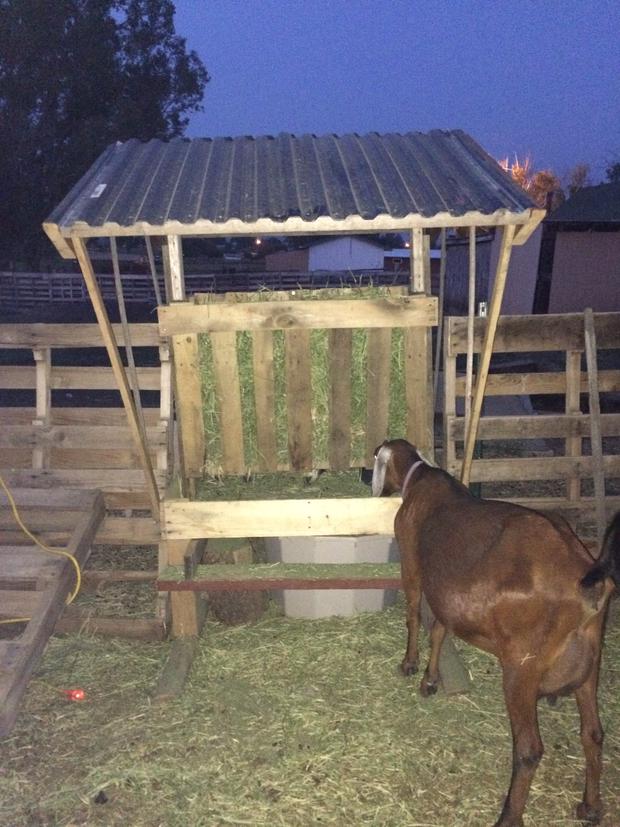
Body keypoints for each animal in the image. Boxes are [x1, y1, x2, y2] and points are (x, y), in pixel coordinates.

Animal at [372, 436, 620, 824]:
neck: (421, 479)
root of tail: (586, 582)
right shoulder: (447, 594)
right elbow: (439, 630)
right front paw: (430, 680)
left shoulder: (413, 564)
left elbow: (414, 614)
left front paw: (410, 665)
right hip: (590, 664)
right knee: (592, 733)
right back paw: (590, 806)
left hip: (521, 668)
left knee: (529, 749)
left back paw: (508, 816)